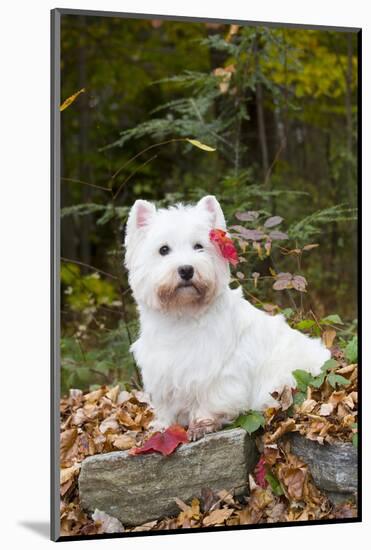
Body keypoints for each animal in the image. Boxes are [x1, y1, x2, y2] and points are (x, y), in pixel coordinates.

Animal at [125, 196, 332, 442]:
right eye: (163, 250)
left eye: (199, 246)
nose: (186, 270)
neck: (182, 314)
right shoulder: (162, 371)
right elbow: (166, 405)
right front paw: (162, 426)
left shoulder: (217, 371)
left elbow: (210, 397)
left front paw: (202, 424)